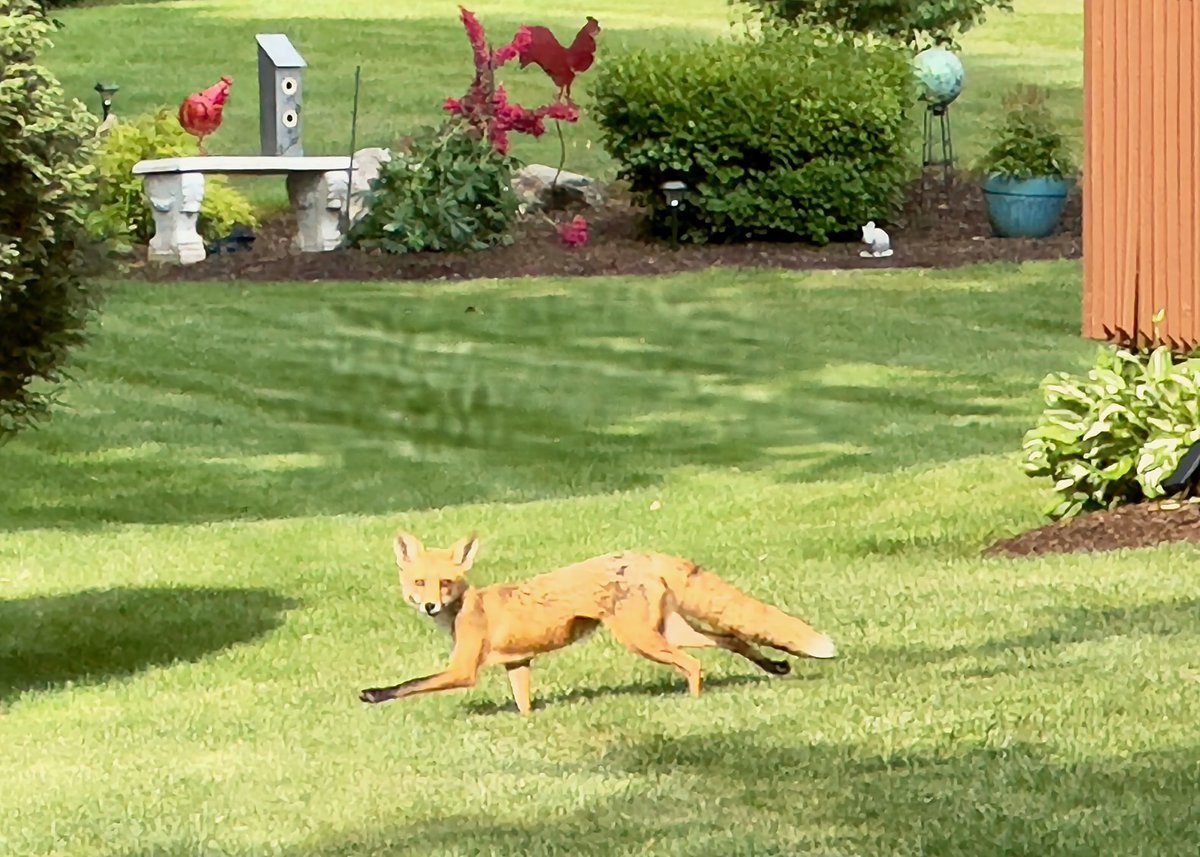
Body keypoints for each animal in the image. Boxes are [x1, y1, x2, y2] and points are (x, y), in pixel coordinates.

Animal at [357, 530, 835, 710]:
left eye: (446, 583)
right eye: (420, 582)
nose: (429, 606)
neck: (467, 607)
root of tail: (644, 554)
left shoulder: (463, 670)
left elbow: (411, 684)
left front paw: (375, 694)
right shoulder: (518, 664)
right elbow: (524, 705)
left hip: (642, 639)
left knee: (696, 664)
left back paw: (694, 702)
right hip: (670, 630)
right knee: (732, 638)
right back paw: (776, 666)